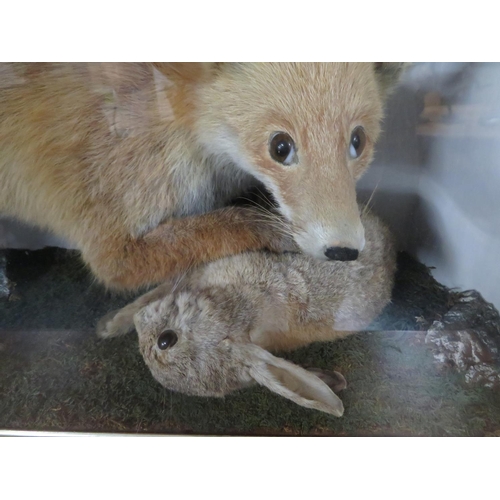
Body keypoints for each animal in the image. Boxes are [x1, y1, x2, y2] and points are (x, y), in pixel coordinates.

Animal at [0, 63, 406, 290]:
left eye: (357, 142)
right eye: (280, 147)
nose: (344, 250)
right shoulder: (113, 241)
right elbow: (224, 225)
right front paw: (268, 229)